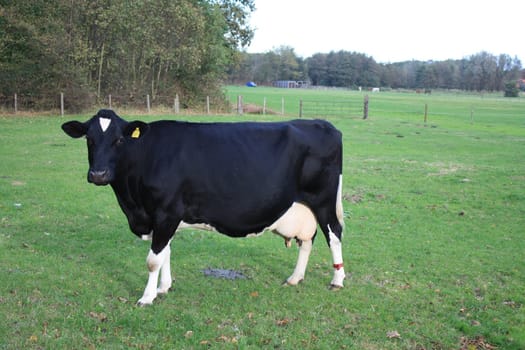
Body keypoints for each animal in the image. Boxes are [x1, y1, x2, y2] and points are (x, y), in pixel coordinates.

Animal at [61, 110, 346, 306]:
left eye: (119, 140)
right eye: (89, 139)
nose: (98, 174)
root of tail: (323, 124)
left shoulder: (165, 212)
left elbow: (153, 259)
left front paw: (147, 297)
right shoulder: (162, 217)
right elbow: (166, 252)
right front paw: (164, 287)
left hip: (323, 200)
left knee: (334, 233)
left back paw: (337, 280)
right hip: (303, 206)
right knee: (307, 240)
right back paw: (295, 277)